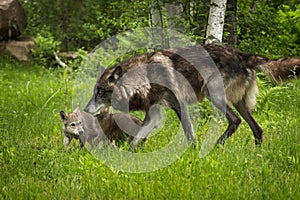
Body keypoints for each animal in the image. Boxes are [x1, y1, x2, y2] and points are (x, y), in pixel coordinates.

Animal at [83, 44, 296, 146]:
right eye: (95, 92)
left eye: (101, 92)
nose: (85, 109)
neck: (144, 78)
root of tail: (242, 54)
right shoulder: (153, 114)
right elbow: (135, 140)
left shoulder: (180, 105)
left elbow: (190, 136)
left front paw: (192, 156)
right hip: (238, 103)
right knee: (257, 129)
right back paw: (257, 153)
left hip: (214, 96)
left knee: (235, 121)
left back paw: (216, 146)